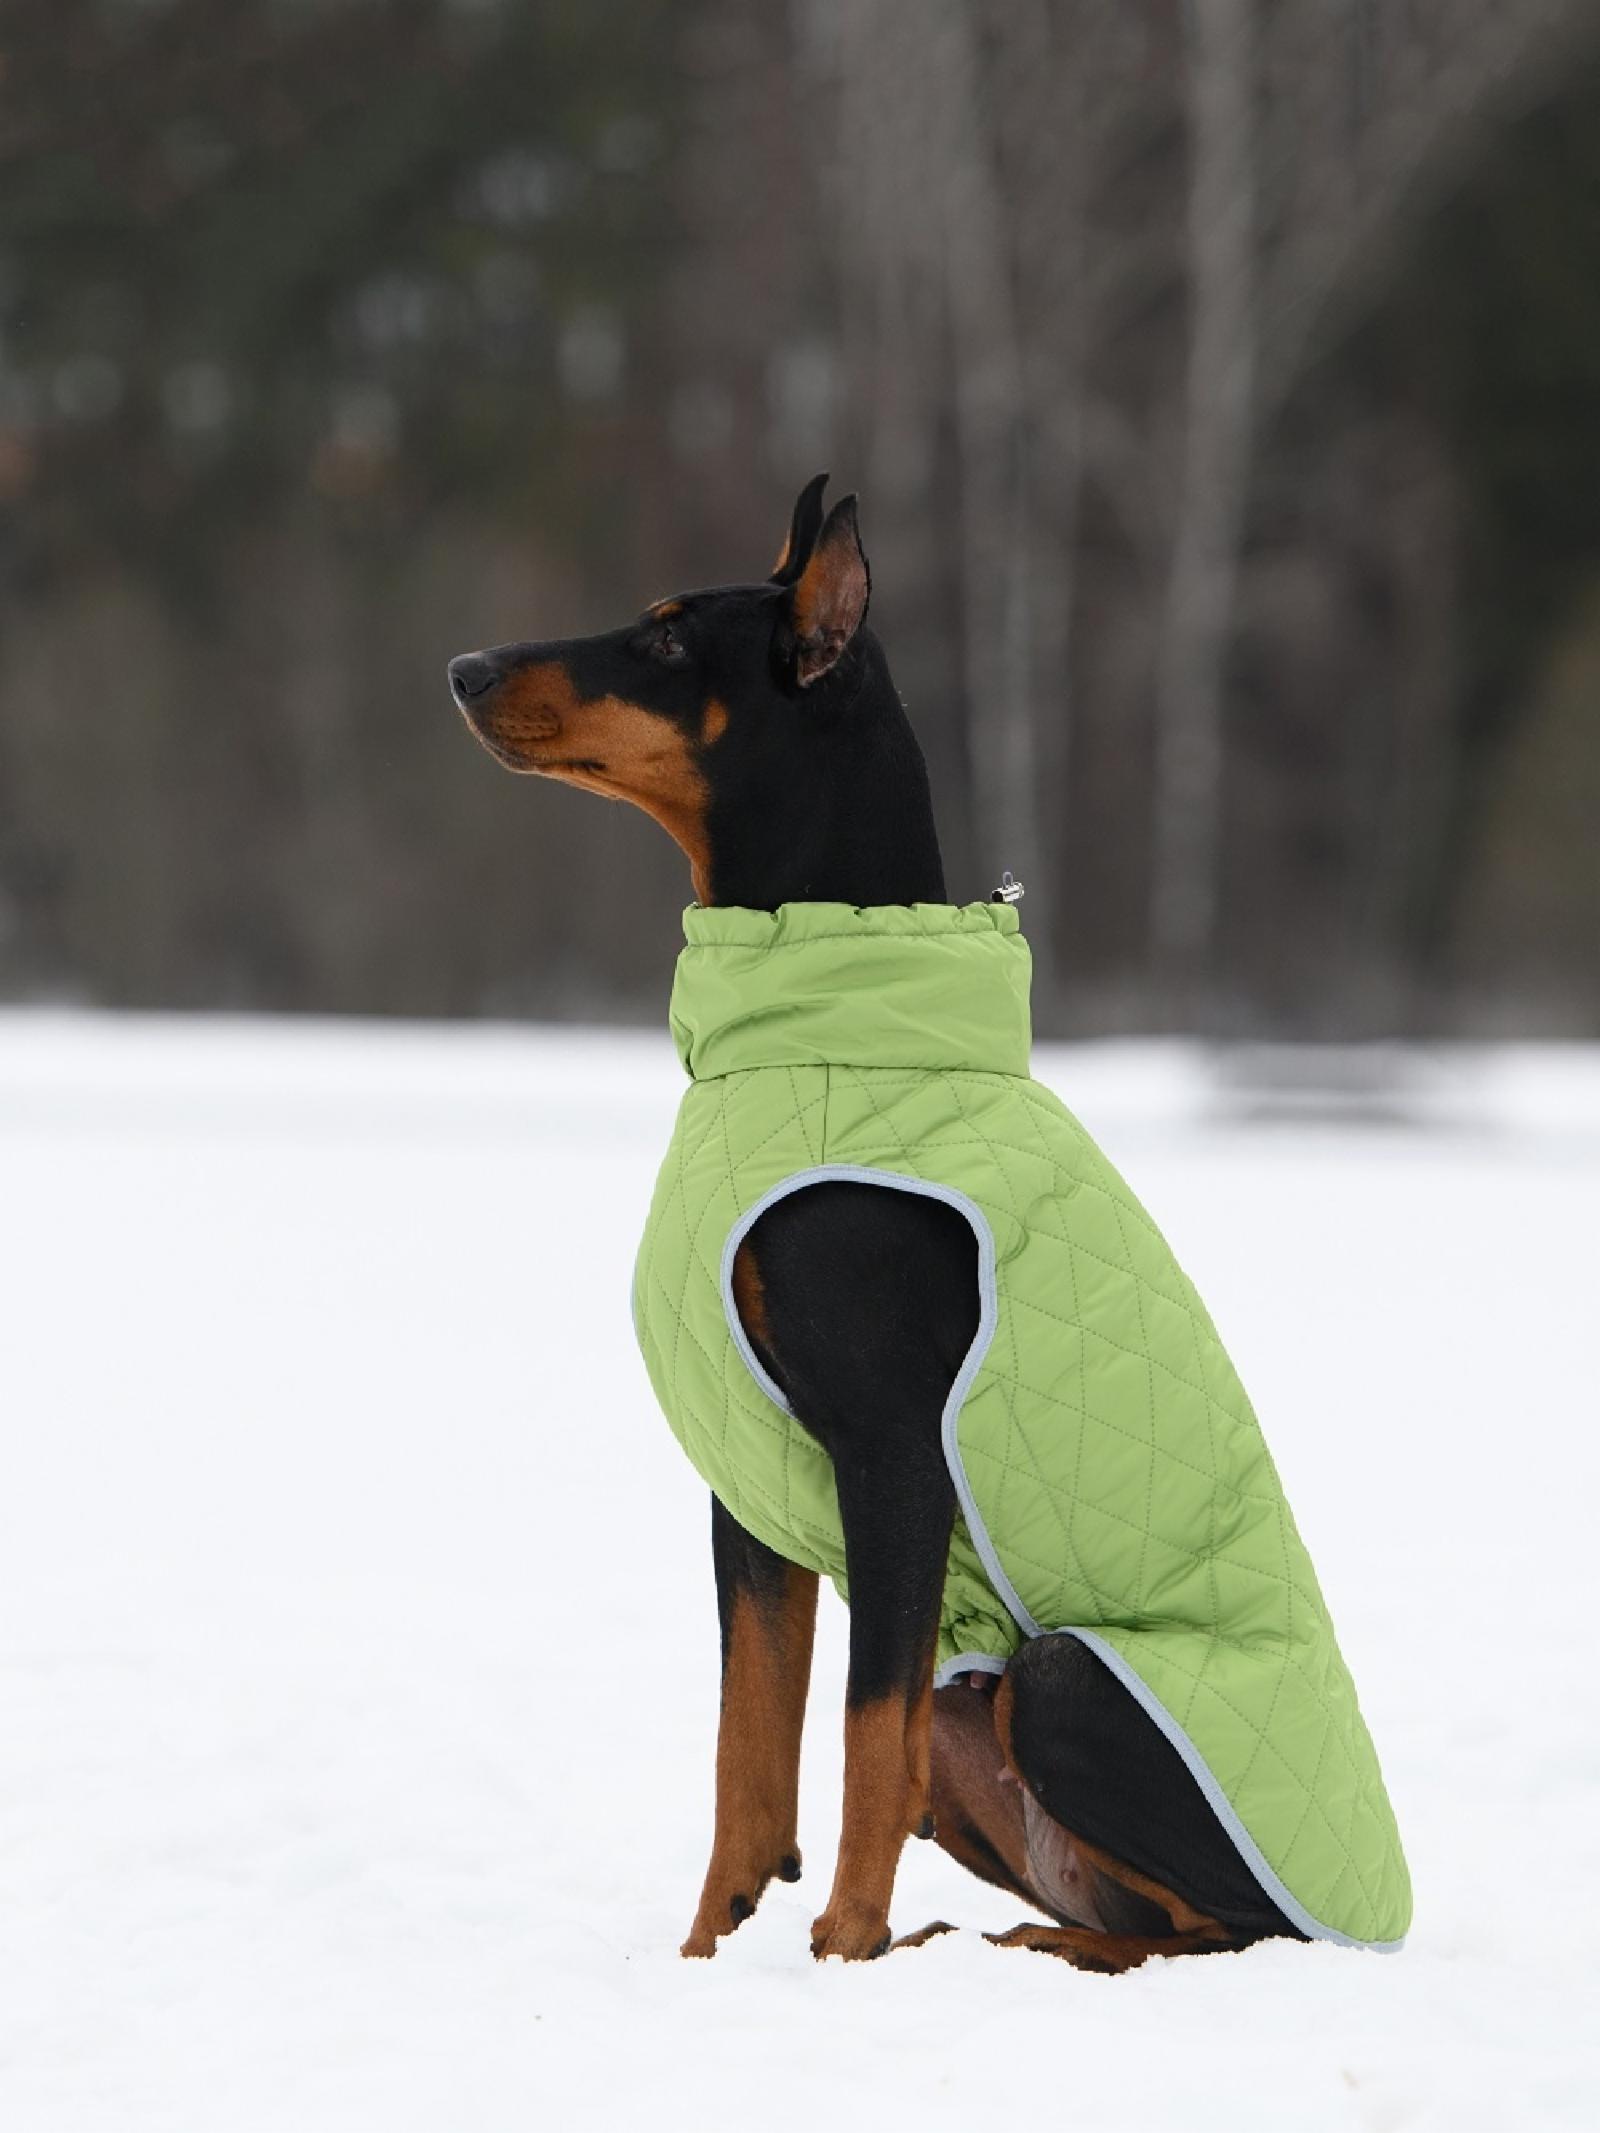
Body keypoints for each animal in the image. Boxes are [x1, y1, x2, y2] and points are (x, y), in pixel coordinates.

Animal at [448, 476, 1411, 1970]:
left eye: (667, 639)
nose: (464, 668)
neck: (828, 1030)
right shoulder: (751, 1490)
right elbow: (749, 1747)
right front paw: (710, 1959)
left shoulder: (890, 1451)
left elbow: (860, 1736)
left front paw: (839, 1951)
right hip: (982, 1701)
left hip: (1060, 1675)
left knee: (1235, 1929)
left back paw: (1030, 1950)